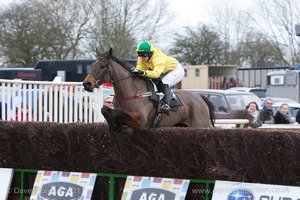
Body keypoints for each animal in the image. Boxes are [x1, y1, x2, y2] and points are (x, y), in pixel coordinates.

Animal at [82, 47, 216, 130]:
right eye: (92, 65)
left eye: (102, 66)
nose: (86, 84)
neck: (130, 91)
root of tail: (200, 98)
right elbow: (104, 109)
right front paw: (113, 125)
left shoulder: (141, 121)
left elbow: (120, 113)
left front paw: (119, 126)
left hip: (200, 124)